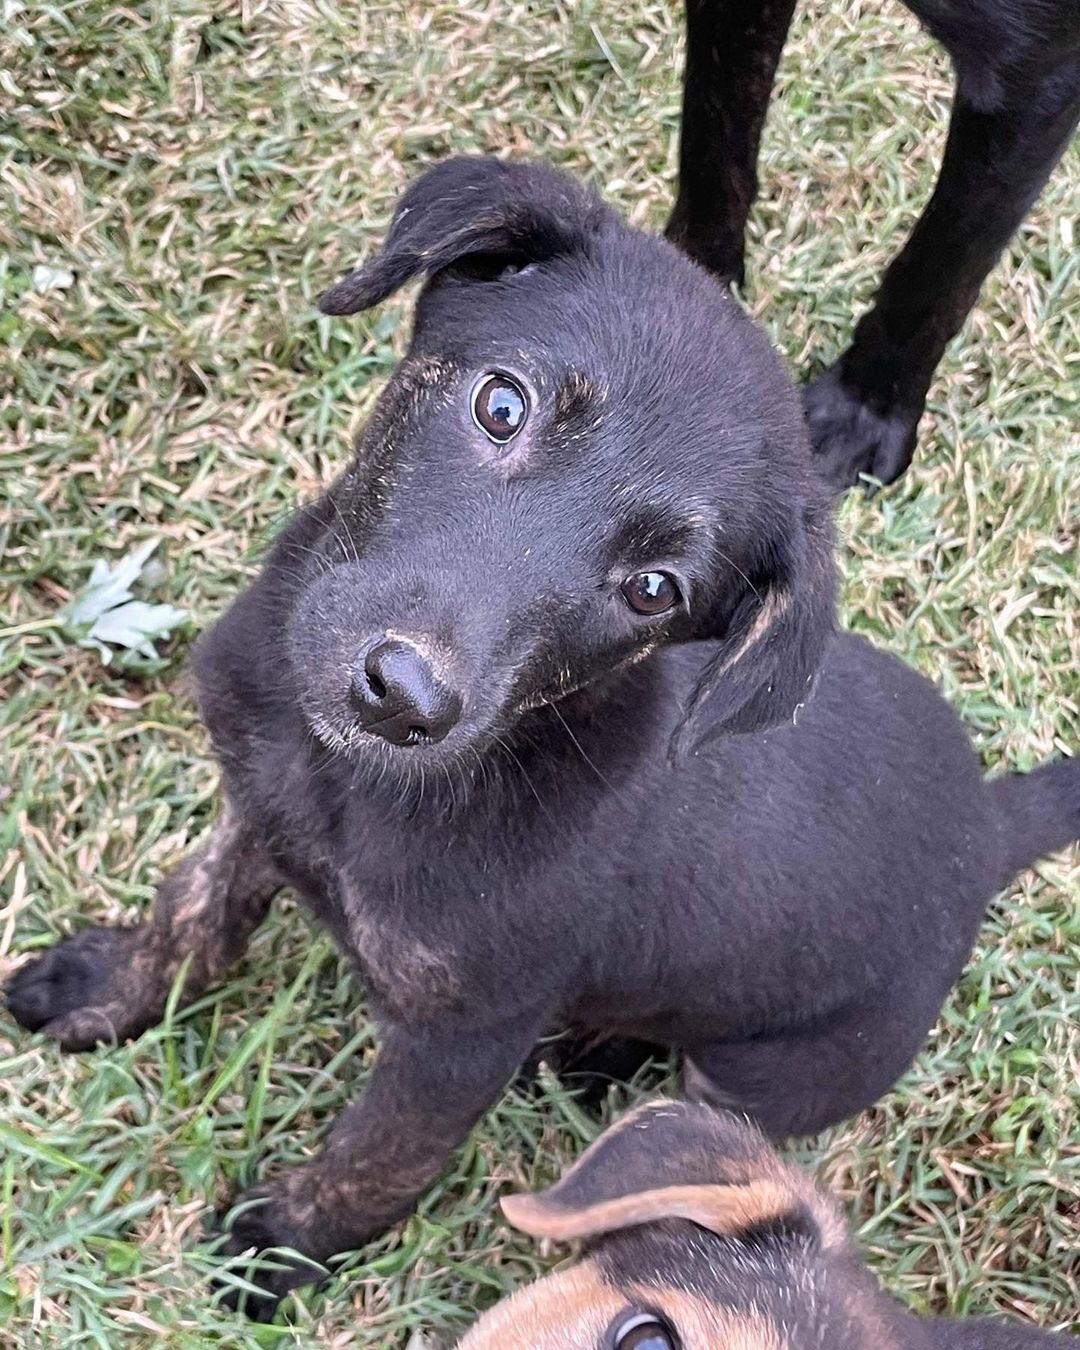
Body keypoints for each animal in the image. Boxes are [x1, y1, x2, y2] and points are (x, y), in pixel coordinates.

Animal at [8, 157, 1080, 1317]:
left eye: (654, 589)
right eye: (500, 403)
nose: (403, 696)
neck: (349, 775)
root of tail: (991, 823)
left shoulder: (459, 1040)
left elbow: (379, 1154)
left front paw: (281, 1248)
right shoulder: (258, 792)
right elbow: (194, 907)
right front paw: (108, 990)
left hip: (783, 1065)